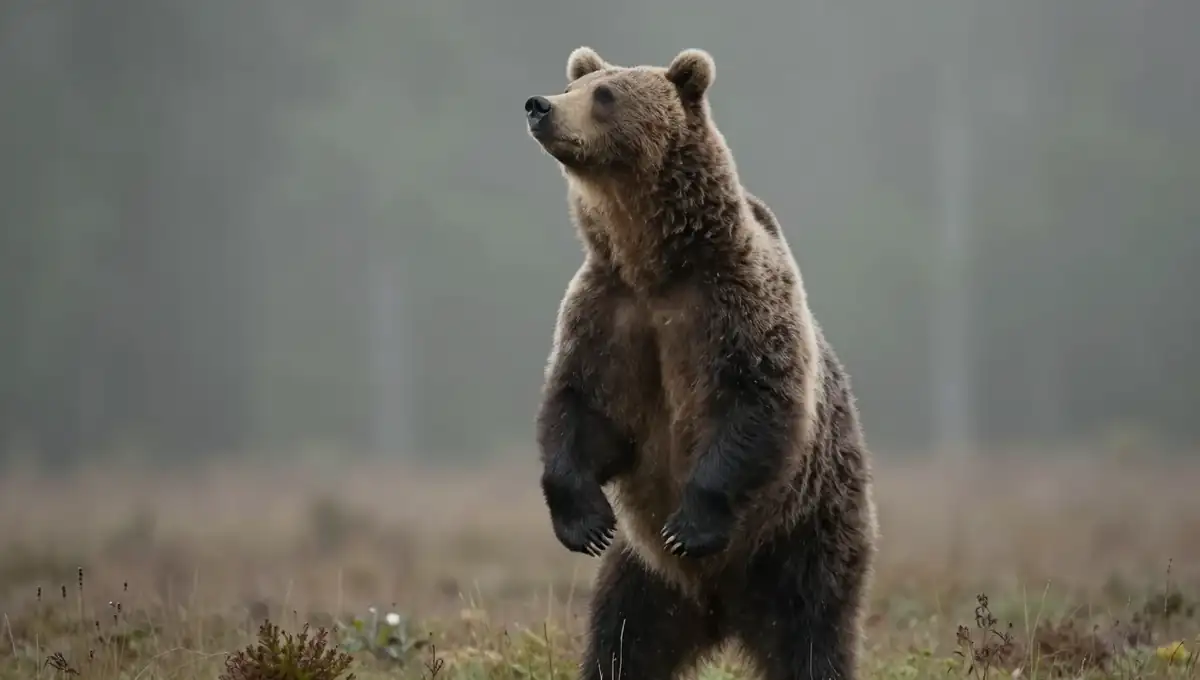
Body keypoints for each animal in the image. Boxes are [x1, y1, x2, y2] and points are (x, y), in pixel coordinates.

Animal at [526, 46, 879, 680]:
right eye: (576, 85)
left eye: (606, 94)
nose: (540, 105)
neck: (653, 261)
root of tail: (718, 606)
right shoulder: (609, 312)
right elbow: (581, 405)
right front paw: (584, 522)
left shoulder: (730, 303)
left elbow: (755, 399)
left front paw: (691, 525)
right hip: (645, 576)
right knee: (623, 638)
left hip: (804, 539)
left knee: (812, 634)